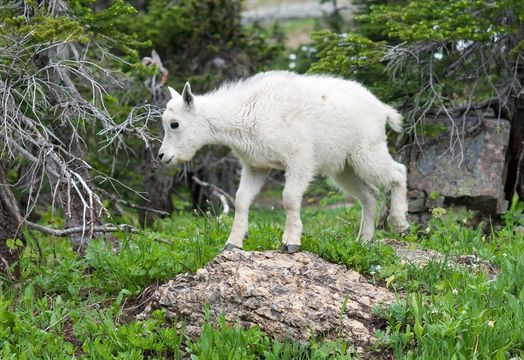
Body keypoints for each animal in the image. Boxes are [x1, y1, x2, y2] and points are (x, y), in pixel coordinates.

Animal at [160, 71, 410, 253]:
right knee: (370, 195)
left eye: (174, 124)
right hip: (344, 167)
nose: (163, 156)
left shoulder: (299, 159)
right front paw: (232, 244)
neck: (246, 113)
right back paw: (364, 240)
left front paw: (291, 242)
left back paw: (400, 224)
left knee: (398, 172)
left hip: (366, 151)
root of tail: (382, 108)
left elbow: (289, 199)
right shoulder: (256, 166)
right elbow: (240, 201)